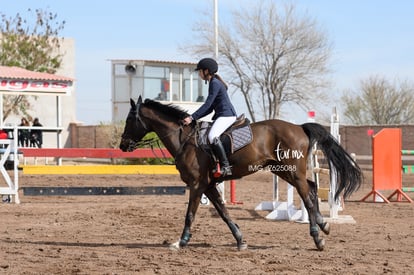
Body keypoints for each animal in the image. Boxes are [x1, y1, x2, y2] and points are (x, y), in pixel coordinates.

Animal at [119, 97, 362, 252]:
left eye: (130, 120)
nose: (123, 145)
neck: (184, 140)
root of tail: (299, 127)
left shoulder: (197, 185)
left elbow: (190, 215)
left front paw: (181, 242)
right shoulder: (208, 186)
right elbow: (224, 213)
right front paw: (241, 240)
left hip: (292, 172)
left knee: (307, 195)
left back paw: (318, 237)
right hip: (283, 171)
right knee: (311, 187)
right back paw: (323, 224)